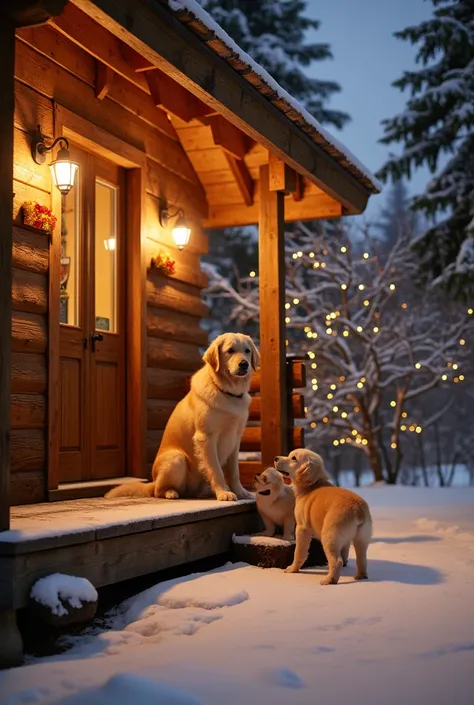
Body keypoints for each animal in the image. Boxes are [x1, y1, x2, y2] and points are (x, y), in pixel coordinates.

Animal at [276, 452, 372, 584]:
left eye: (293, 458)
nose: (276, 458)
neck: (312, 485)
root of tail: (357, 509)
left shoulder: (302, 528)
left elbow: (299, 552)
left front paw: (292, 569)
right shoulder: (346, 540)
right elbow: (345, 550)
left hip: (330, 535)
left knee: (337, 561)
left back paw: (329, 580)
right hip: (362, 538)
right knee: (362, 558)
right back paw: (360, 576)